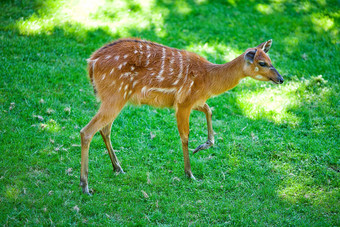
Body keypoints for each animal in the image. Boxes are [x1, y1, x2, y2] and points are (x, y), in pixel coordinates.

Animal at [79, 38, 282, 194]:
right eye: (262, 63)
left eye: (270, 59)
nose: (280, 79)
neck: (209, 80)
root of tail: (91, 63)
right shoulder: (184, 102)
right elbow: (185, 136)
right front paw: (190, 174)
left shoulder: (193, 101)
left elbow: (209, 110)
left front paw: (203, 146)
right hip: (115, 95)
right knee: (86, 131)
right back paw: (85, 186)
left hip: (117, 98)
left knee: (104, 129)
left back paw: (118, 168)